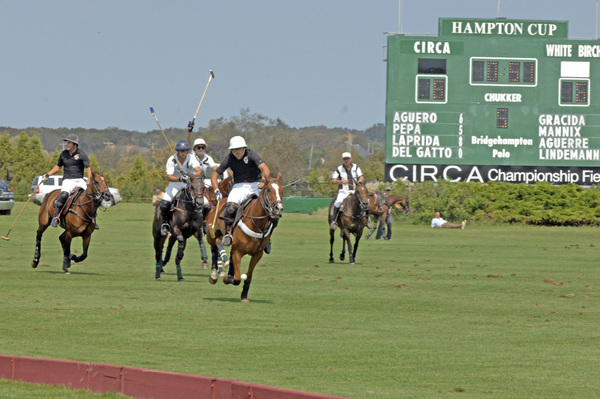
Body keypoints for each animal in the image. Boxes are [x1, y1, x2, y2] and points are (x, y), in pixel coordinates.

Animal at [210, 173, 284, 304]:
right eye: (269, 189)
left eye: (282, 190)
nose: (279, 208)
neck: (256, 223)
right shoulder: (238, 251)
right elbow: (237, 278)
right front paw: (227, 278)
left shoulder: (257, 254)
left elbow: (248, 276)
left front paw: (244, 296)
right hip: (213, 234)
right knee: (216, 244)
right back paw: (217, 272)